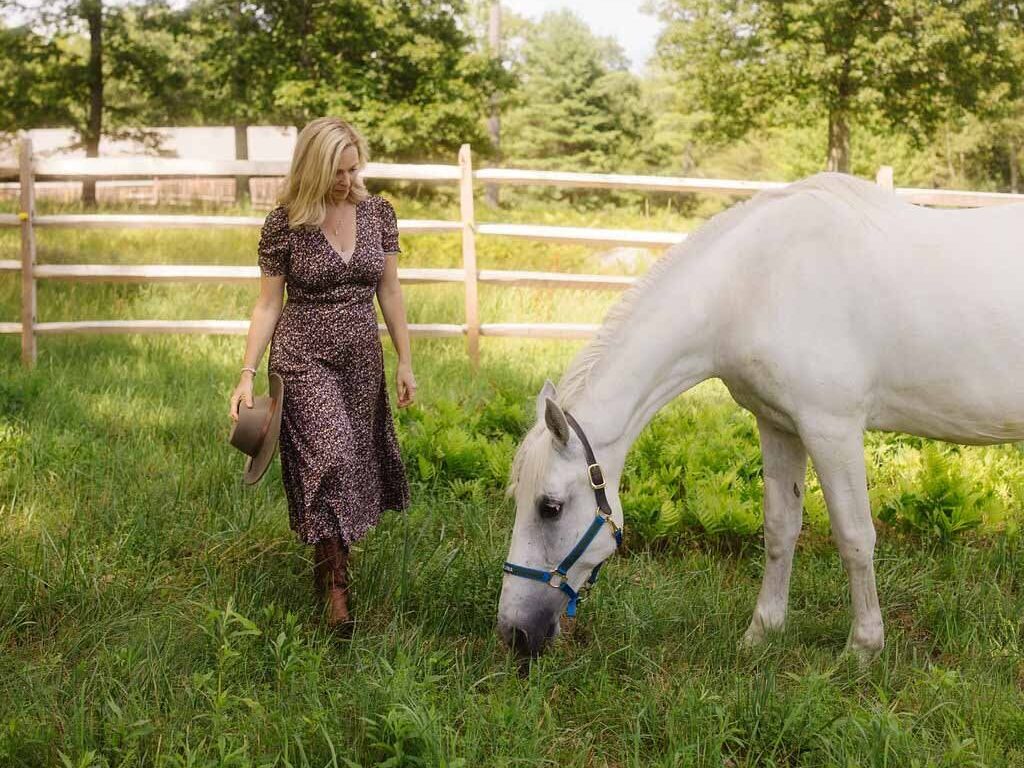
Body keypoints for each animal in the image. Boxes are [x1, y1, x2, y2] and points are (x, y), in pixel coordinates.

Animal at [496, 172, 1024, 661]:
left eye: (549, 507)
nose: (513, 633)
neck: (755, 284)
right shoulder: (779, 425)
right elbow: (779, 528)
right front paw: (761, 634)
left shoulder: (832, 429)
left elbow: (855, 536)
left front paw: (862, 648)